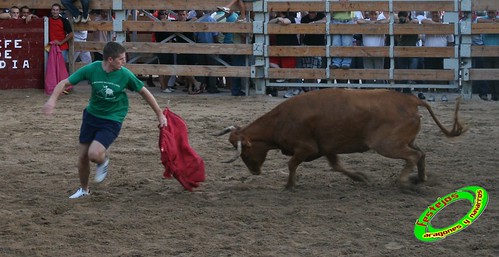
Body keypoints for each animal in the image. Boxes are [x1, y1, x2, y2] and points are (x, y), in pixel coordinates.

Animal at [214, 88, 464, 188]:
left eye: (245, 152)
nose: (254, 172)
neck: (281, 120)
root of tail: (411, 100)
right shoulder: (328, 148)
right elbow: (337, 166)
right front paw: (360, 177)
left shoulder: (305, 148)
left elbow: (291, 164)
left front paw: (289, 185)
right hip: (405, 140)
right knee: (421, 153)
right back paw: (420, 179)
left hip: (388, 145)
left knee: (413, 156)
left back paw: (404, 181)